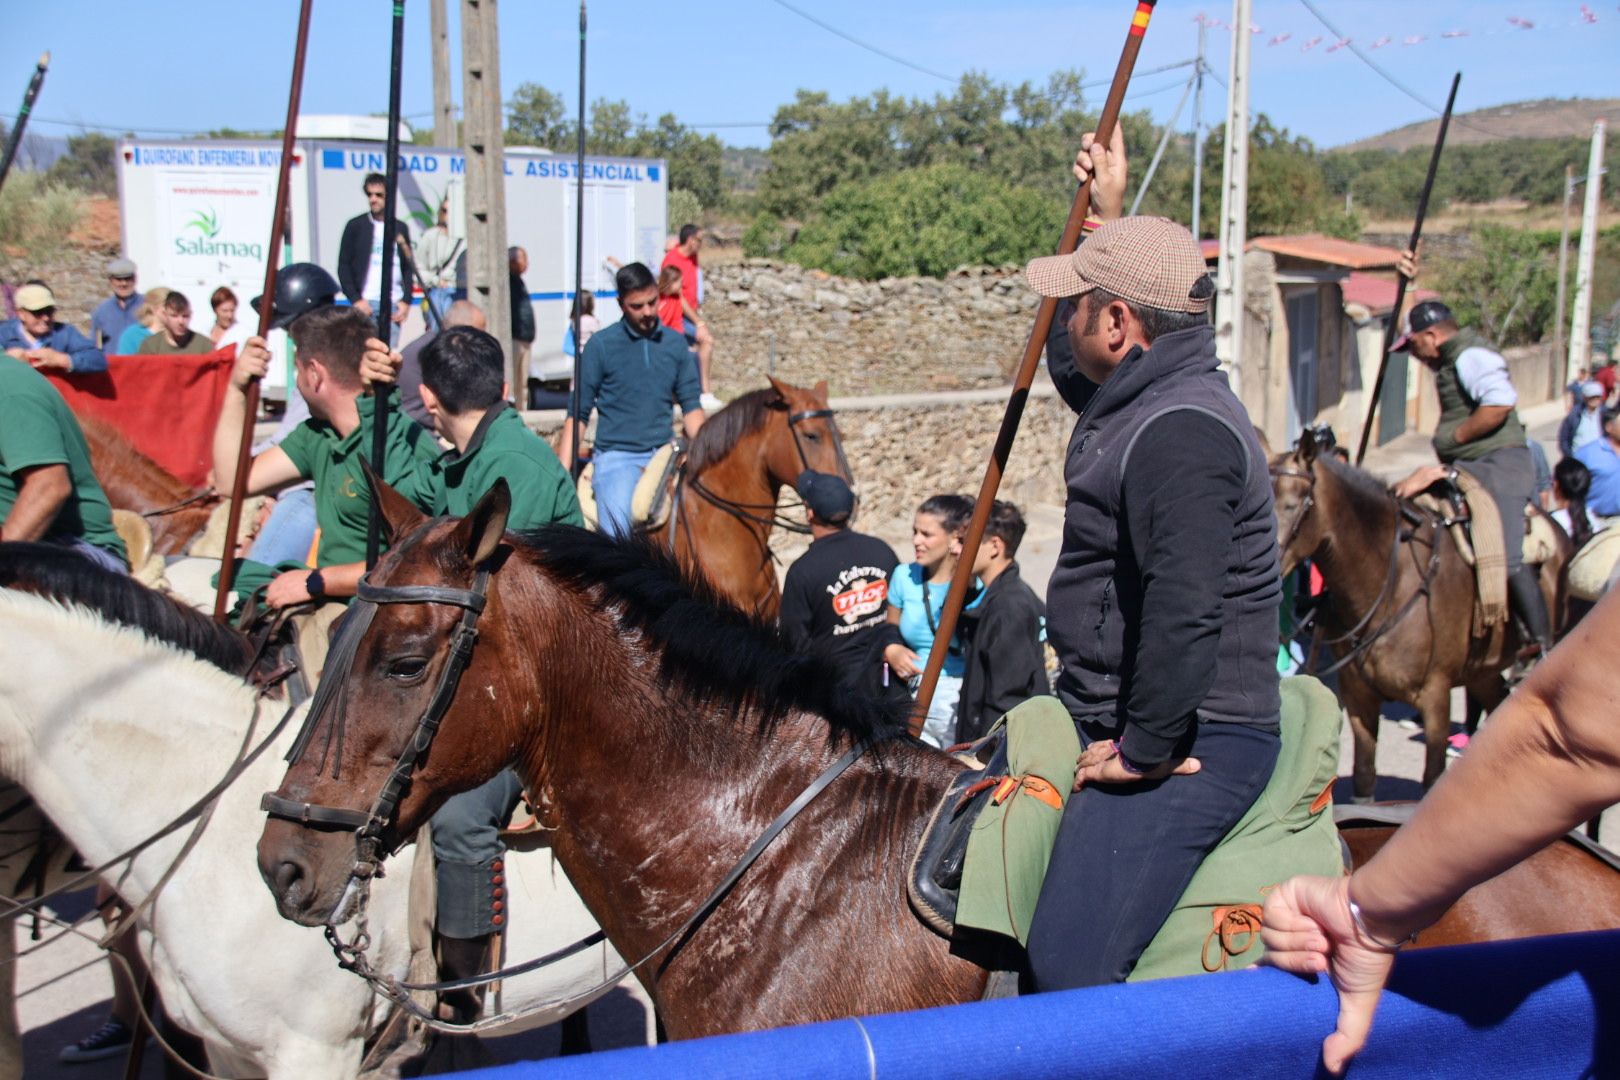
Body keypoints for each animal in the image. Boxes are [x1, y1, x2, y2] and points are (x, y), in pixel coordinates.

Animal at [1263, 433, 1568, 803]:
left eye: (1293, 505)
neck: (1387, 584)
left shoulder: (1435, 695)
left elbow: (1432, 777)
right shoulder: (1359, 696)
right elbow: (1364, 776)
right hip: (1482, 671)